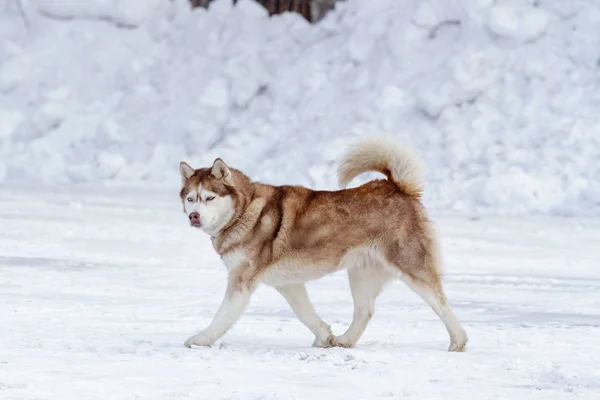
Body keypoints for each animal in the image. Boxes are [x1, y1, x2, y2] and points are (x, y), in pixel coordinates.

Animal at [178, 136, 468, 352]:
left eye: (210, 197)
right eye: (191, 199)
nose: (194, 216)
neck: (245, 211)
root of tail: (397, 186)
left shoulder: (241, 282)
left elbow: (222, 317)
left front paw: (201, 339)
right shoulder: (288, 283)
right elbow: (304, 313)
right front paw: (324, 337)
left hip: (410, 267)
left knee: (440, 301)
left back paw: (458, 340)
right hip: (361, 274)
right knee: (365, 310)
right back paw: (345, 340)